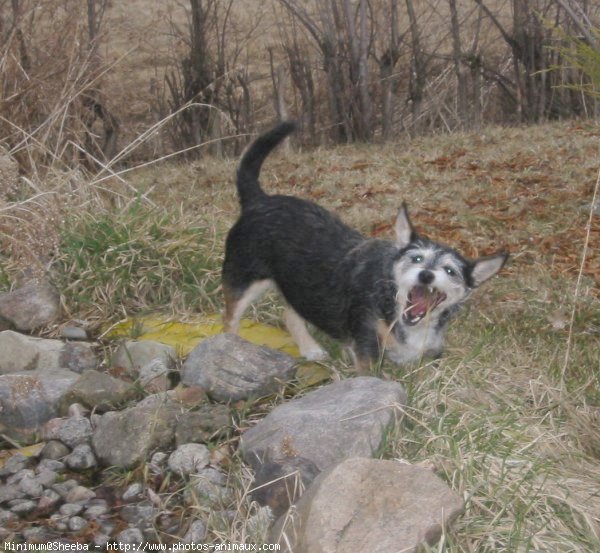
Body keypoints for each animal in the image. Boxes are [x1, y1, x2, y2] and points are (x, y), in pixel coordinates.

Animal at [220, 121, 506, 370]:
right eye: (416, 259)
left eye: (449, 271)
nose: (426, 275)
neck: (392, 298)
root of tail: (259, 200)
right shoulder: (367, 343)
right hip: (242, 280)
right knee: (229, 322)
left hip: (299, 287)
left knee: (290, 314)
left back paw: (310, 349)